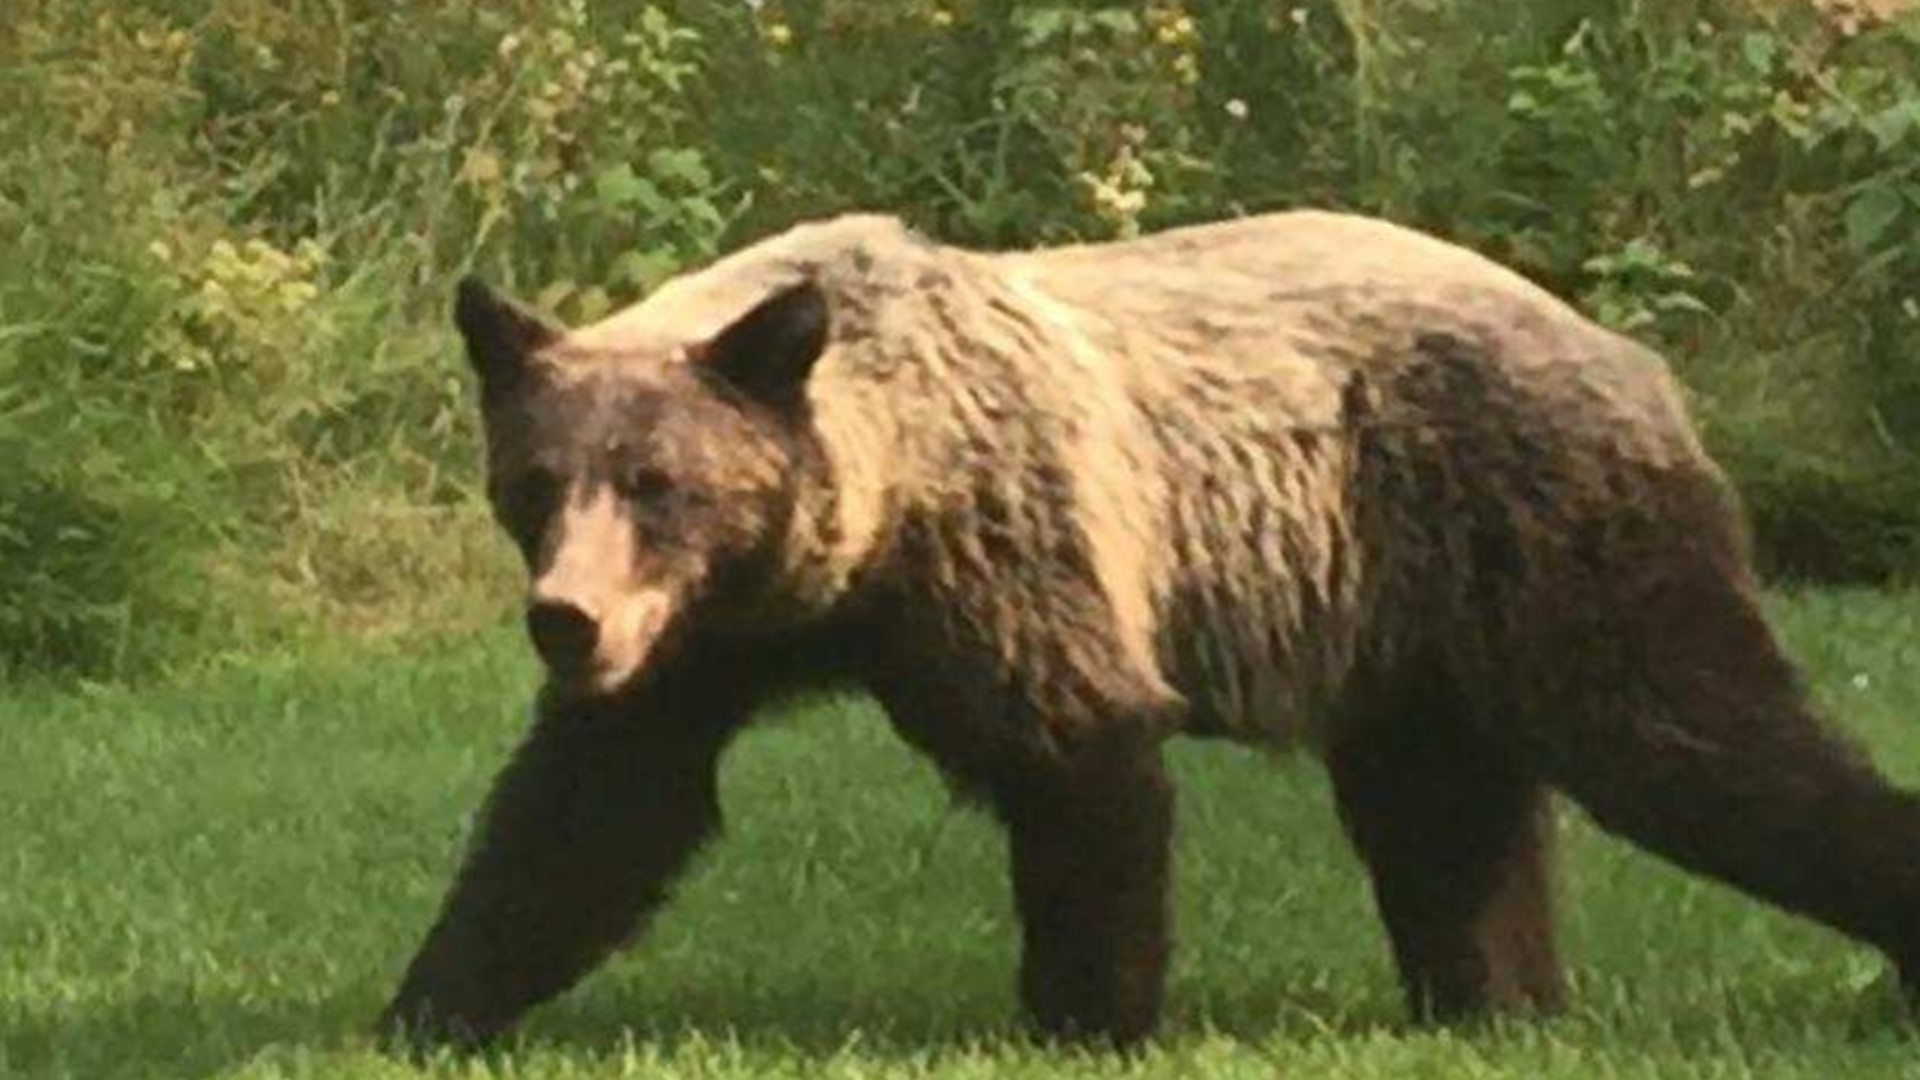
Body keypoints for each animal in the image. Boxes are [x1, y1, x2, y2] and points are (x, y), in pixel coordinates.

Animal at [379, 210, 1920, 1050]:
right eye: (535, 482)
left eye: (662, 483)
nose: (565, 623)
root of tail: (1633, 350)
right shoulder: (707, 643)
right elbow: (591, 817)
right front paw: (428, 1007)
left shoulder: (999, 542)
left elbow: (1077, 755)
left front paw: (1085, 1012)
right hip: (1408, 615)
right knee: (1446, 812)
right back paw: (1497, 994)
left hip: (1529, 518)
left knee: (1692, 733)